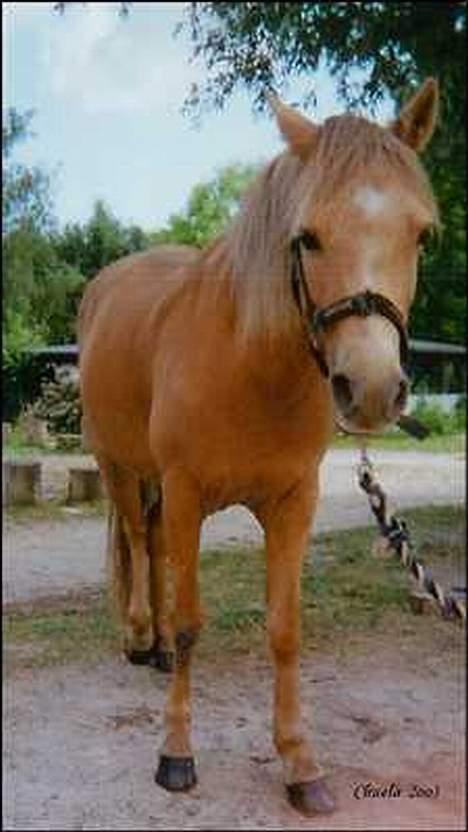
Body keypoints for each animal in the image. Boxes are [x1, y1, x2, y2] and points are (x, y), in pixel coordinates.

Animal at [78, 78, 440, 816]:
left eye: (421, 234)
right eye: (307, 237)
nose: (371, 390)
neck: (250, 369)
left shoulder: (292, 502)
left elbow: (285, 629)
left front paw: (300, 764)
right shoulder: (187, 492)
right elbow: (193, 619)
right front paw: (176, 754)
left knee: (152, 545)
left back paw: (156, 647)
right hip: (119, 465)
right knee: (136, 537)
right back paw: (139, 636)